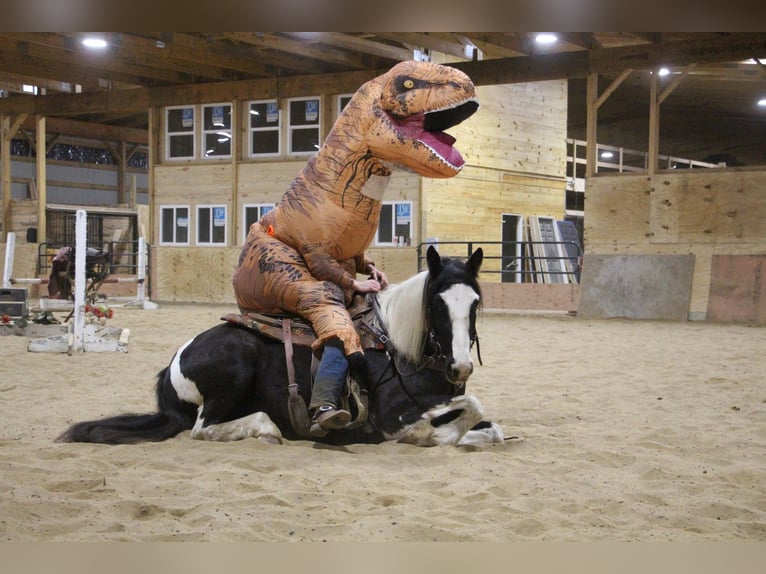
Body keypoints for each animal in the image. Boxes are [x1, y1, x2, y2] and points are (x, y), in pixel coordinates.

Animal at [60, 248, 504, 450]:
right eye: (437, 304)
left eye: (474, 304)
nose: (461, 367)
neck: (400, 349)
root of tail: (172, 367)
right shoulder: (390, 417)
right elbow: (459, 416)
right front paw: (431, 428)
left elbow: (491, 428)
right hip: (235, 368)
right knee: (204, 428)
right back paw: (268, 428)